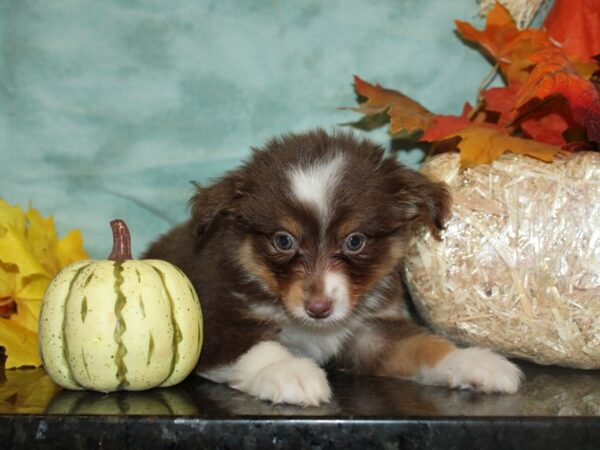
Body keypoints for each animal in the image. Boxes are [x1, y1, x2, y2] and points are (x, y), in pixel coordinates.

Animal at [143, 129, 524, 404]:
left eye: (354, 241)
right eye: (284, 240)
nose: (318, 308)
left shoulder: (369, 330)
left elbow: (424, 345)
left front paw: (475, 362)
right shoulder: (211, 319)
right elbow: (256, 347)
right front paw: (290, 372)